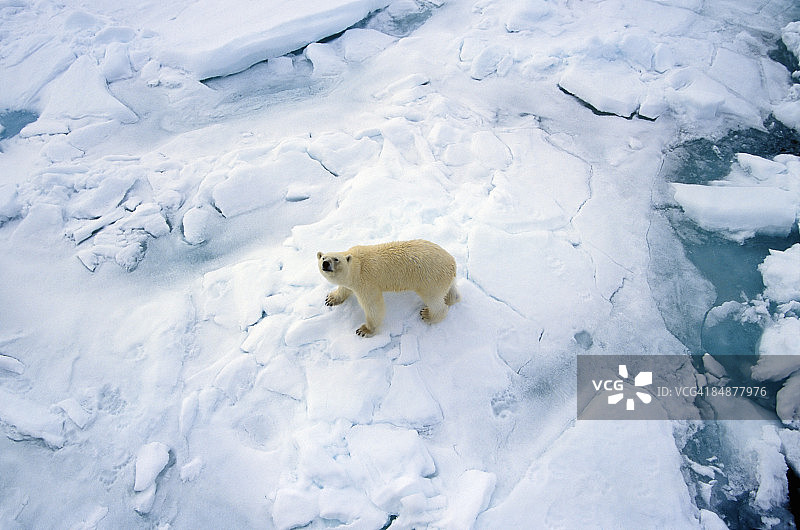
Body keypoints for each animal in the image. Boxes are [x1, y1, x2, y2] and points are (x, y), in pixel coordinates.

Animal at [317, 239, 460, 337]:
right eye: (323, 257)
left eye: (336, 259)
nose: (325, 263)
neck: (357, 264)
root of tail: (452, 262)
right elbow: (345, 288)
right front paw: (330, 299)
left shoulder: (366, 283)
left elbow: (373, 306)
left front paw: (364, 330)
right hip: (444, 278)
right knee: (452, 292)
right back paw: (451, 299)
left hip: (429, 280)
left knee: (434, 300)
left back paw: (427, 314)